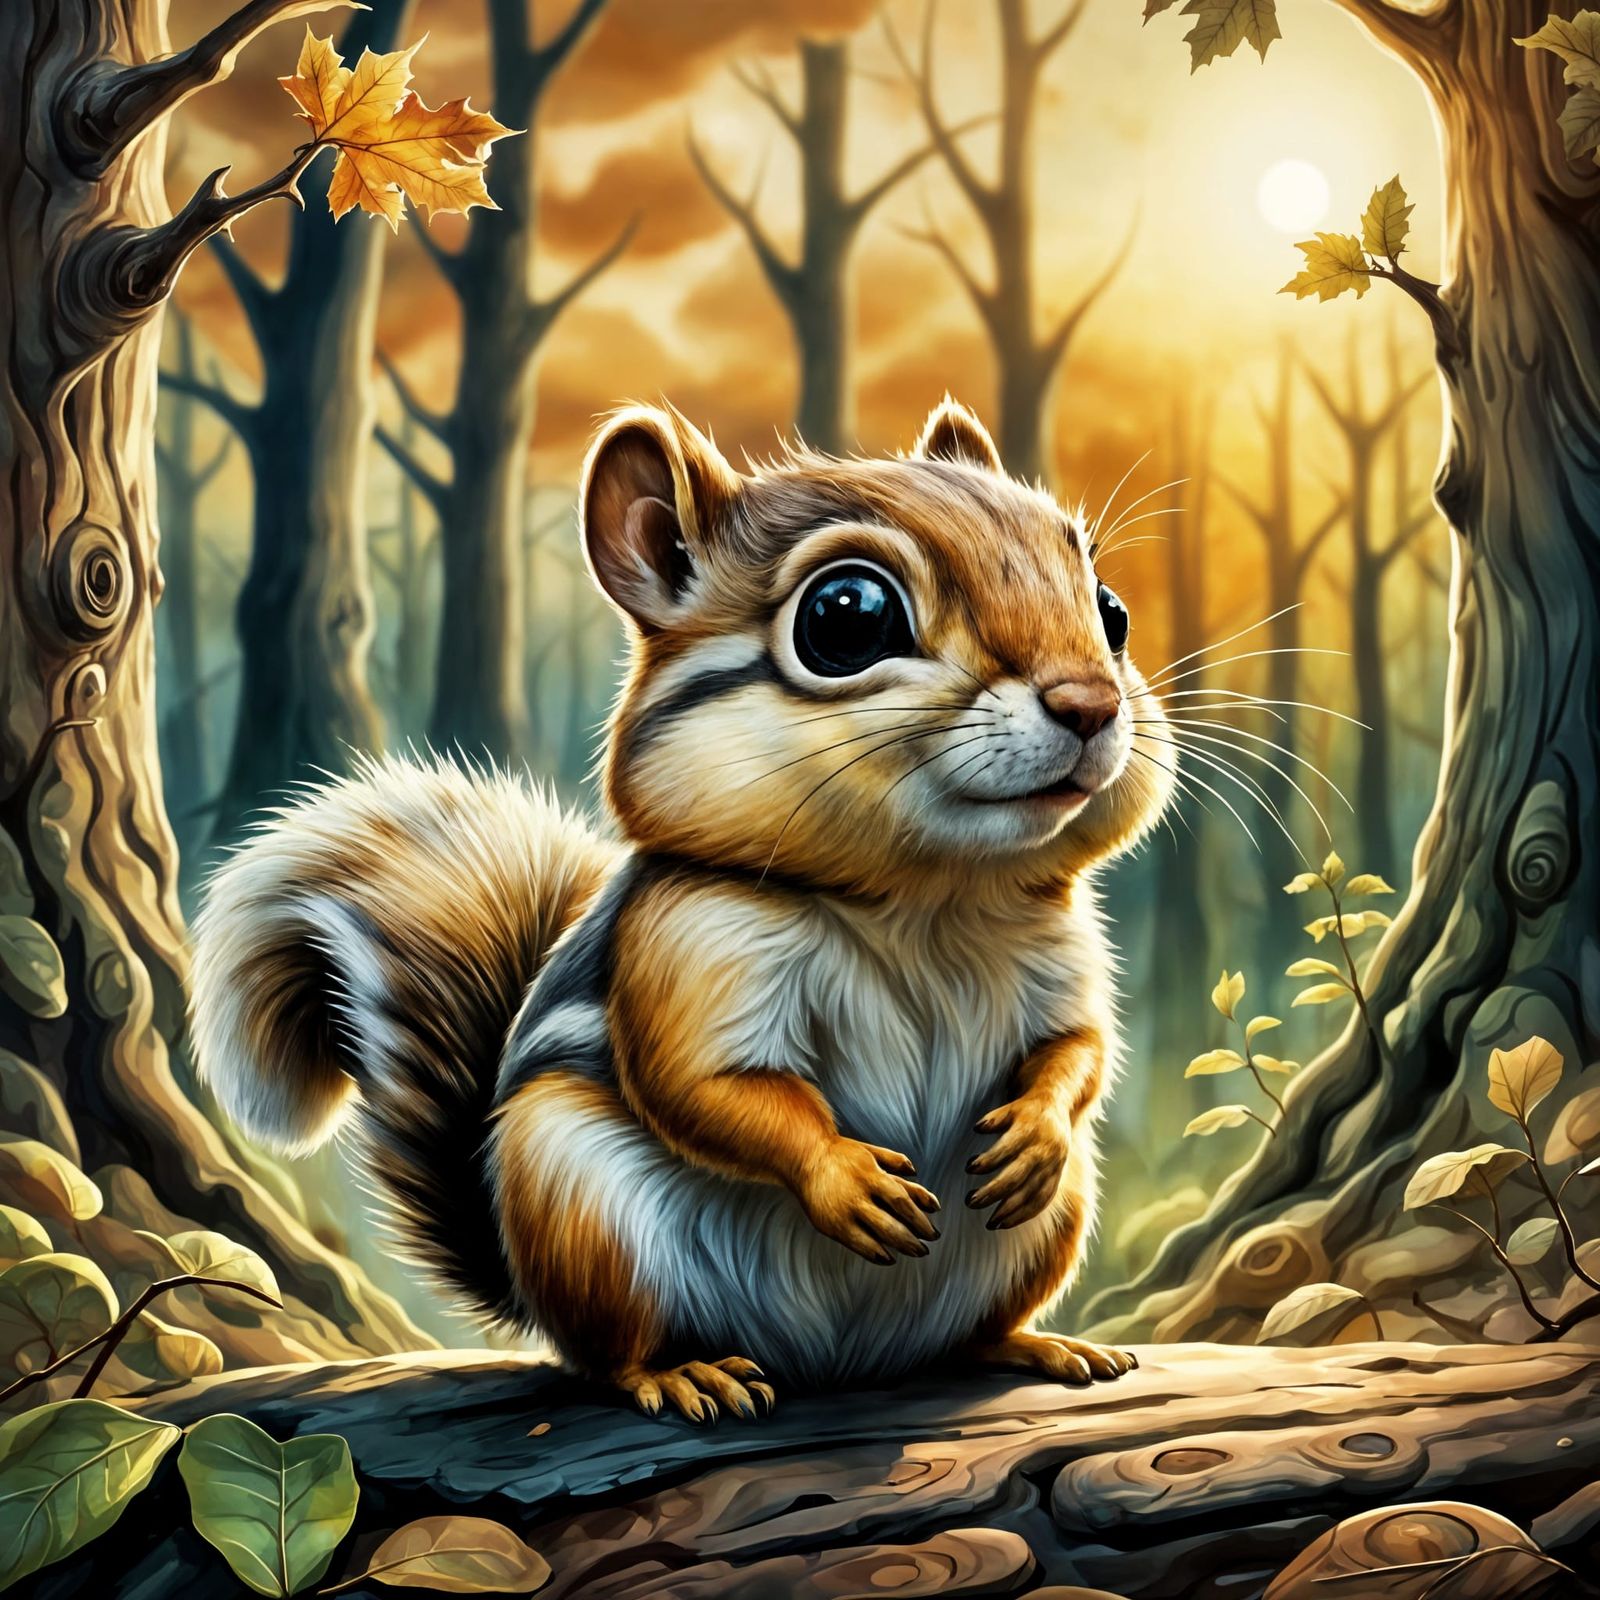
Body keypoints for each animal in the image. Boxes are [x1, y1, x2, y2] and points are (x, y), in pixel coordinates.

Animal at [190, 397, 1174, 1422]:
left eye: (1111, 610)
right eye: (846, 616)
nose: (1091, 703)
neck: (926, 902)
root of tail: (843, 1361)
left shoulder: (1067, 952)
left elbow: (1079, 1052)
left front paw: (1036, 1131)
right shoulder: (687, 947)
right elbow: (704, 1088)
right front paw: (844, 1177)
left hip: (1049, 1227)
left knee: (970, 1333)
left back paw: (1034, 1343)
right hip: (575, 1195)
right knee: (603, 1352)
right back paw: (680, 1373)